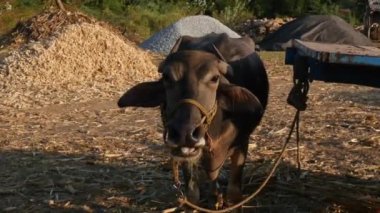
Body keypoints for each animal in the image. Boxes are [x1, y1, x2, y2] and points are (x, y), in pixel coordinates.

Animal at [117, 33, 268, 210]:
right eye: (167, 77)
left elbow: (233, 193)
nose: (185, 134)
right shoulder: (186, 154)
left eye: (214, 78)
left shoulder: (242, 143)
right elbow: (193, 194)